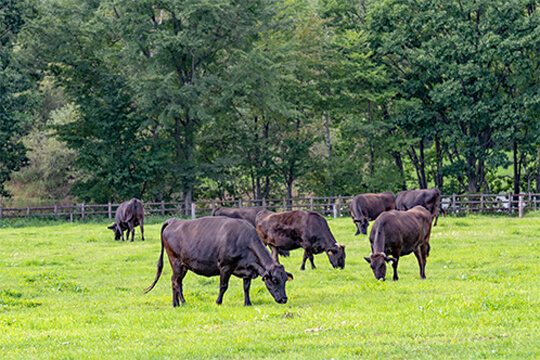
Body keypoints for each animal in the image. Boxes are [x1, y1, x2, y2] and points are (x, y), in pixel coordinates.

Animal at [143, 217, 294, 306]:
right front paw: (218, 302)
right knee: (176, 281)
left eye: (285, 280)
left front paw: (248, 303)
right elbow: (223, 286)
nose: (284, 299)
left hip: (183, 264)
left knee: (175, 281)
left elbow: (246, 287)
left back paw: (176, 303)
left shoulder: (248, 268)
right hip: (175, 261)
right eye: (274, 280)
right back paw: (182, 302)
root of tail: (174, 220)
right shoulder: (225, 266)